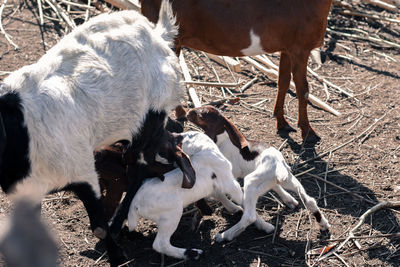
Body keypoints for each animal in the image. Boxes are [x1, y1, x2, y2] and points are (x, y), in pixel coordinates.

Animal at [128, 131, 242, 260]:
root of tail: (135, 205)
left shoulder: (214, 186)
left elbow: (221, 195)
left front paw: (235, 209)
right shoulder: (229, 181)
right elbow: (240, 195)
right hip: (171, 216)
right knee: (160, 244)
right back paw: (193, 253)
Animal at [139, 0, 332, 141]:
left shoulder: (287, 48)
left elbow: (283, 81)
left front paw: (281, 122)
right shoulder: (300, 48)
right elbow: (303, 90)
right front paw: (308, 132)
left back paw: (179, 113)